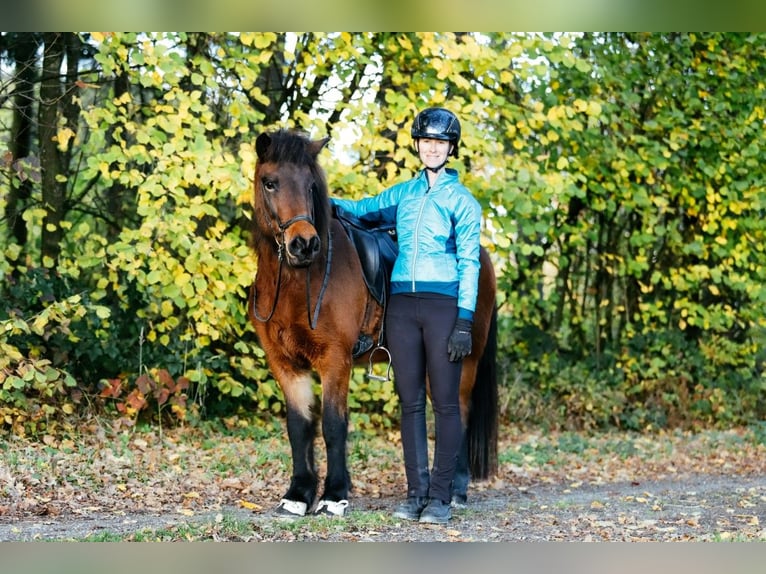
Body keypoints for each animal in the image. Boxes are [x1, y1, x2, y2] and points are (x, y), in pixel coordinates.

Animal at [247, 128, 498, 517]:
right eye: (269, 182)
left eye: (310, 185)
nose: (304, 244)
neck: (298, 283)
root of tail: (481, 256)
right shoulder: (285, 365)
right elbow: (299, 427)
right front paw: (299, 494)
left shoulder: (335, 360)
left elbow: (334, 426)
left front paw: (334, 494)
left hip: (464, 361)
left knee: (459, 413)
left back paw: (453, 492)